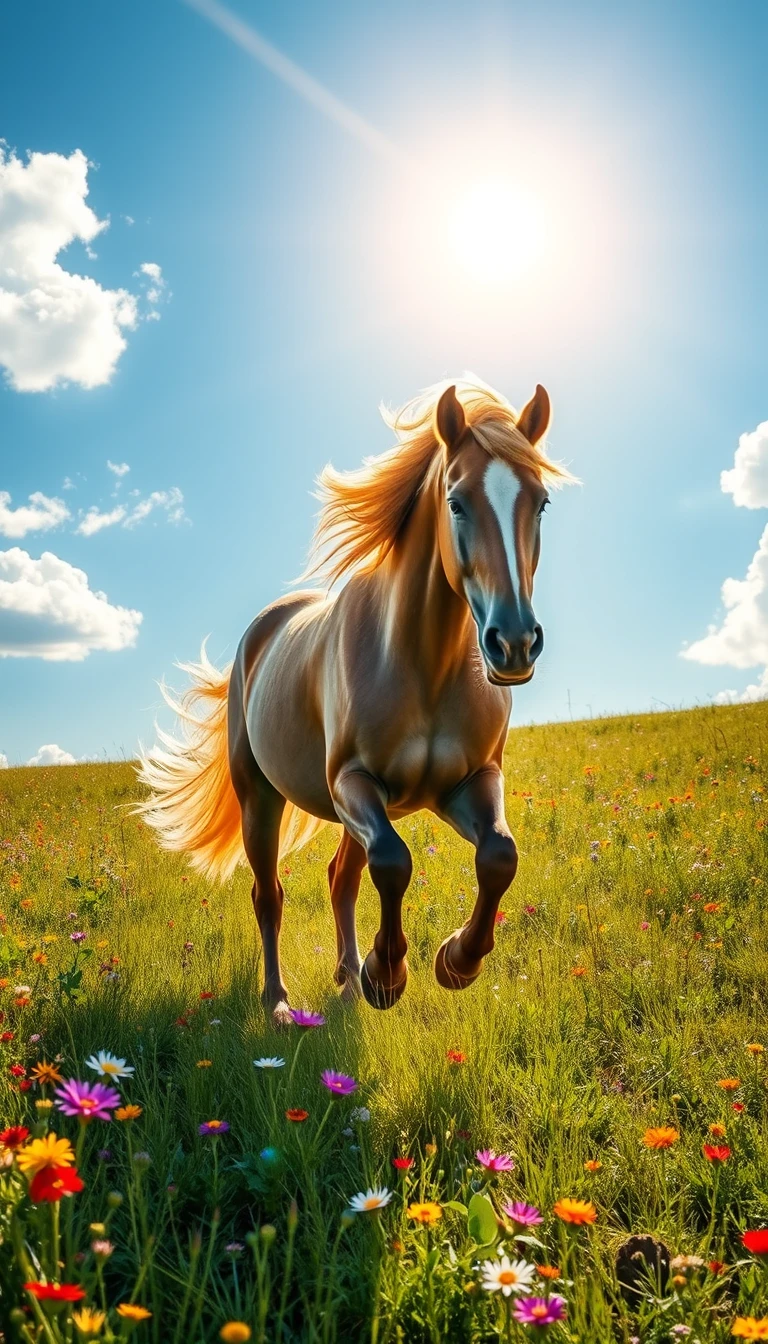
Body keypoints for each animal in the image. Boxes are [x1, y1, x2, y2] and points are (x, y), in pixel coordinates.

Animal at [137, 378, 573, 1025]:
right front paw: (386, 974)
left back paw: (345, 979)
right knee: (270, 894)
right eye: (456, 502)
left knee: (341, 876)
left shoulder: (467, 783)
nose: (514, 642)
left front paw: (455, 962)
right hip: (262, 797)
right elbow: (394, 863)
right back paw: (280, 1002)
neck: (422, 666)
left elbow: (499, 855)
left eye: (540, 502)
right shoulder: (354, 782)